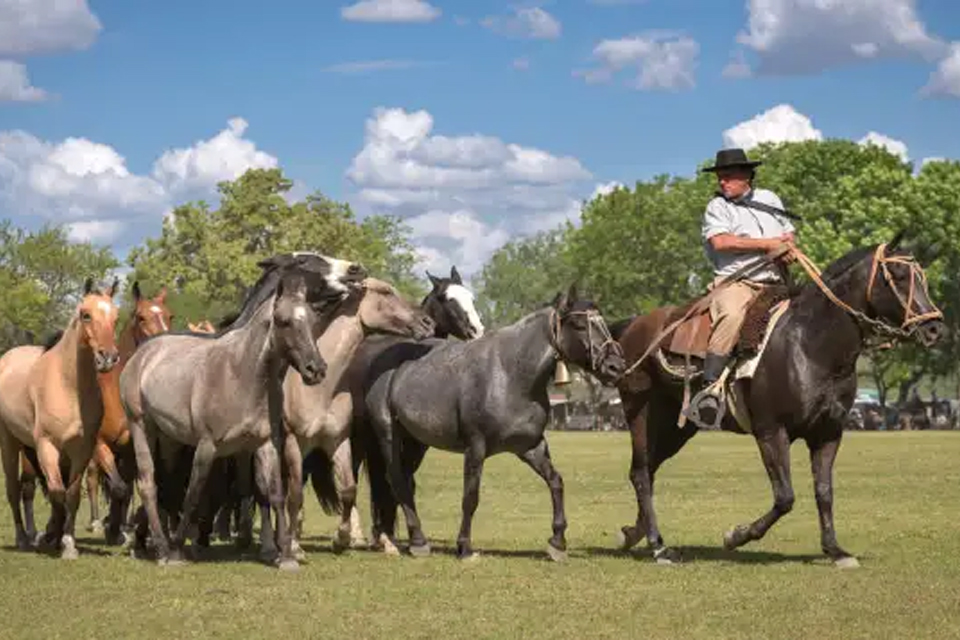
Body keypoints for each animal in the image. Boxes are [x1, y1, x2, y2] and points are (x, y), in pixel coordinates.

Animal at [0, 278, 122, 556]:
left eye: (115, 317)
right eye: (86, 314)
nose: (108, 358)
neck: (67, 386)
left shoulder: (82, 450)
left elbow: (72, 494)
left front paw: (66, 543)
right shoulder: (48, 446)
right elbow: (57, 493)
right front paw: (52, 537)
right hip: (10, 442)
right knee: (13, 489)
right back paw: (24, 539)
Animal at [117, 252, 364, 568]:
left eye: (311, 320)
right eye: (308, 261)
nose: (316, 369)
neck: (240, 372)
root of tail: (143, 353)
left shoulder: (263, 443)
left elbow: (271, 493)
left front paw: (283, 554)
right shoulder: (208, 447)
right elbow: (197, 494)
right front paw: (180, 550)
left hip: (169, 439)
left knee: (167, 484)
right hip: (141, 426)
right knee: (149, 483)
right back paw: (160, 547)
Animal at [282, 278, 436, 556]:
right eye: (386, 291)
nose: (427, 322)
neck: (319, 389)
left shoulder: (337, 442)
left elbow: (348, 490)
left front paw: (341, 539)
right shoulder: (294, 444)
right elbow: (295, 494)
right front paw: (294, 547)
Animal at [358, 284, 624, 560]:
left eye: (604, 324)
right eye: (580, 325)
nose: (617, 366)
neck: (510, 375)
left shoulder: (531, 447)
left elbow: (556, 482)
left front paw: (557, 543)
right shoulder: (475, 447)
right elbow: (470, 497)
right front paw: (465, 547)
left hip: (416, 441)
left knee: (405, 481)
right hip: (389, 434)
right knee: (397, 479)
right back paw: (418, 541)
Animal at [612, 232, 940, 568]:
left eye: (922, 277)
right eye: (898, 276)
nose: (934, 328)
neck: (811, 345)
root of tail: (633, 326)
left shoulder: (828, 433)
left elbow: (824, 491)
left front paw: (835, 550)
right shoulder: (771, 431)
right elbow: (785, 497)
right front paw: (736, 535)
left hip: (677, 426)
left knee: (648, 469)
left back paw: (636, 533)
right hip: (641, 412)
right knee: (640, 473)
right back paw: (658, 547)